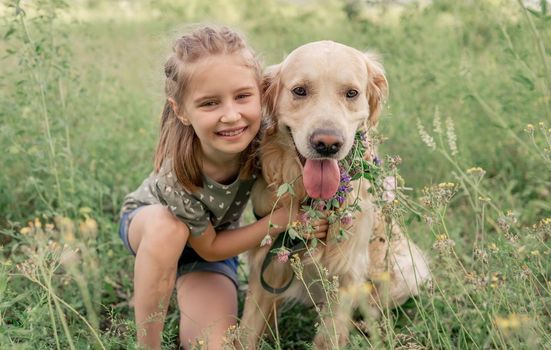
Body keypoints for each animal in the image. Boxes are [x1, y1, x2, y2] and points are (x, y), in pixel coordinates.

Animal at [242, 40, 432, 348]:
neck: (313, 202)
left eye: (351, 93)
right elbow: (246, 331)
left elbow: (328, 338)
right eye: (299, 90)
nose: (327, 143)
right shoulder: (266, 263)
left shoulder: (346, 273)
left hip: (406, 270)